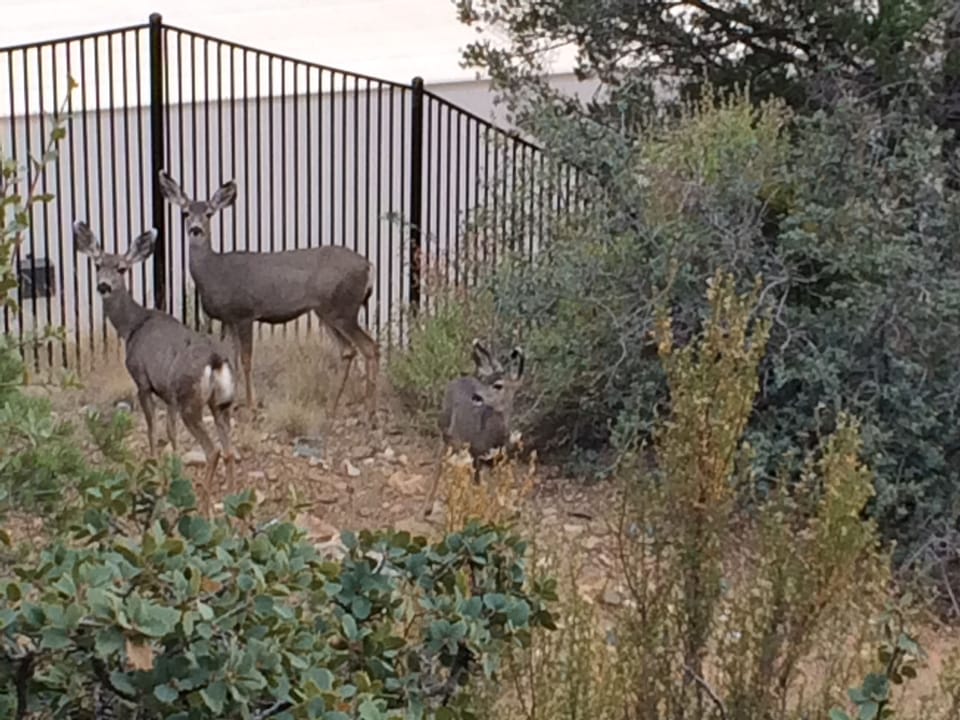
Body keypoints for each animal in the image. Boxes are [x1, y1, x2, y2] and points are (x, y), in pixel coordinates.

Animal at [74, 220, 237, 513]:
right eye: (97, 264)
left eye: (122, 268)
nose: (103, 286)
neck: (132, 326)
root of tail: (215, 361)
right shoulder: (168, 394)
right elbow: (170, 435)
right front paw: (172, 477)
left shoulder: (142, 381)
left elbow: (152, 432)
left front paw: (155, 480)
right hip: (221, 403)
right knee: (229, 450)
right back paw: (232, 505)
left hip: (191, 401)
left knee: (214, 450)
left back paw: (205, 507)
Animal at [158, 171, 380, 425]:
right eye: (185, 212)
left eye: (209, 213)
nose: (195, 229)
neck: (214, 273)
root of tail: (369, 266)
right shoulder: (229, 319)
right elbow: (232, 359)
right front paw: (233, 405)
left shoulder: (245, 313)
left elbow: (246, 360)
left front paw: (252, 408)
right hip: (327, 312)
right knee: (348, 351)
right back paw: (333, 409)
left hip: (343, 309)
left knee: (370, 347)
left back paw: (368, 412)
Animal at [422, 339, 525, 518]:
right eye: (485, 380)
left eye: (498, 385)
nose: (476, 396)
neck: (491, 438)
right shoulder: (475, 453)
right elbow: (477, 488)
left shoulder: (496, 460)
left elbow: (493, 490)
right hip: (445, 429)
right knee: (439, 463)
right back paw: (427, 507)